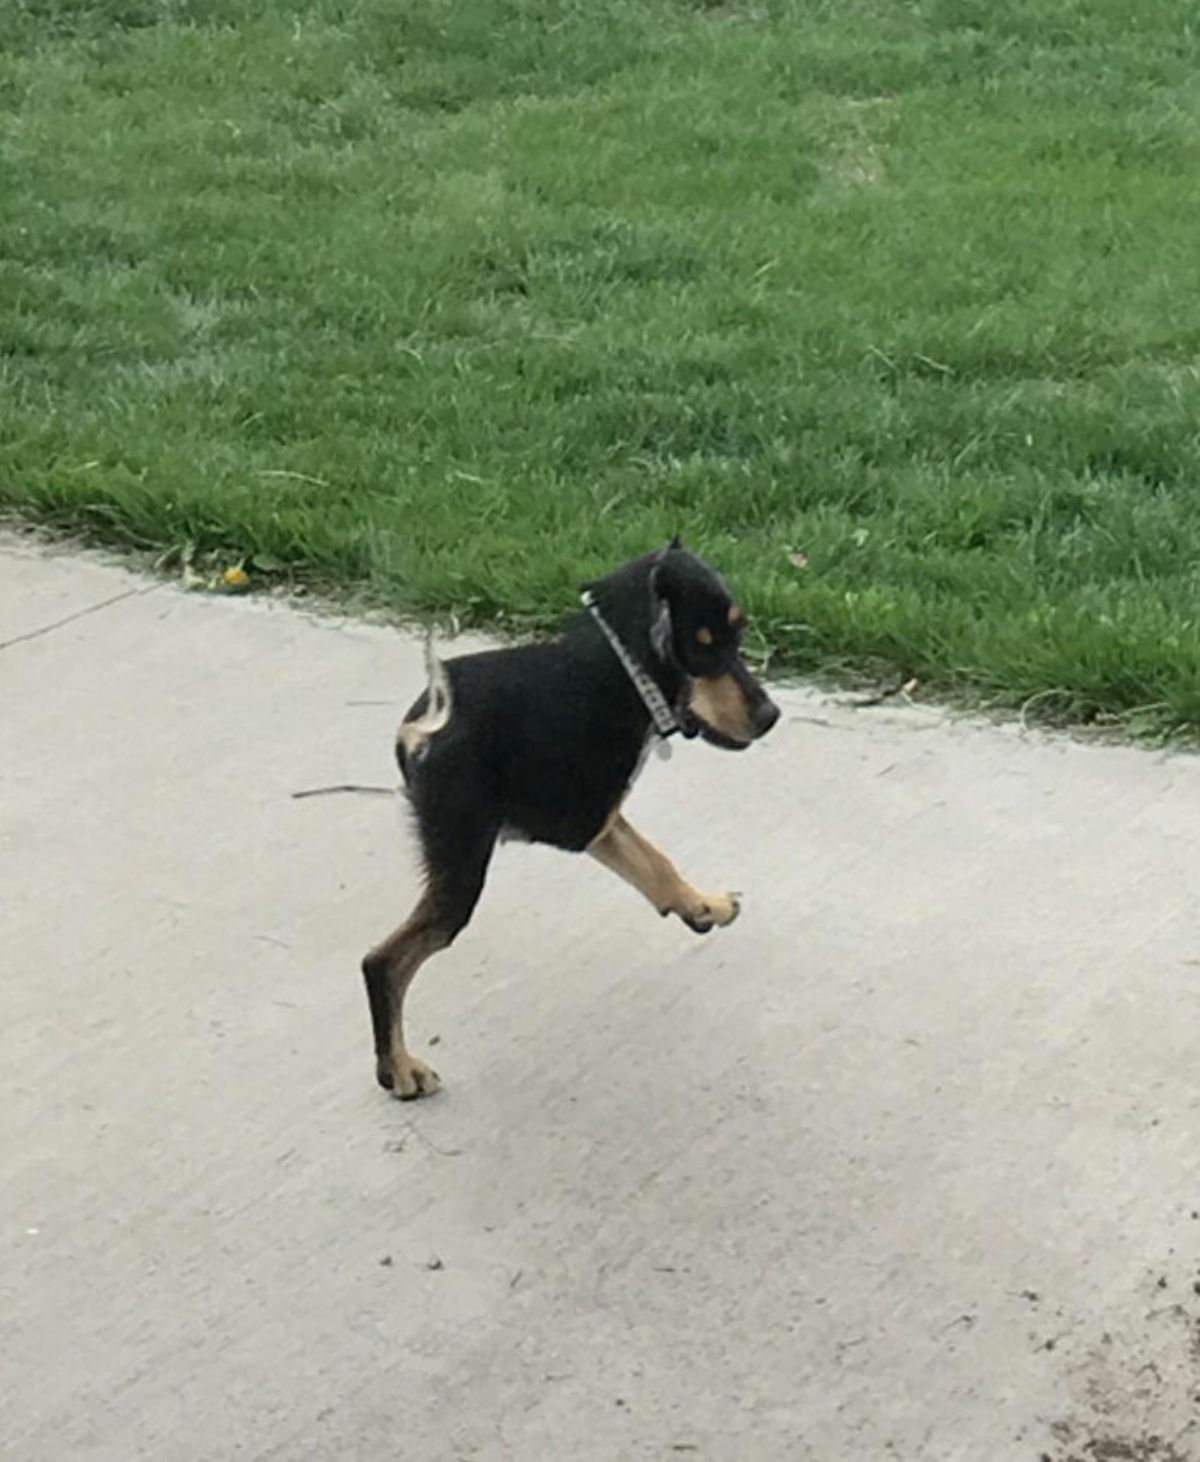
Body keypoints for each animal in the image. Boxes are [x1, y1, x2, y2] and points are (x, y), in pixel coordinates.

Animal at [361, 538, 783, 1099]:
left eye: (738, 634)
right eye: (701, 647)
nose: (770, 717)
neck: (624, 668)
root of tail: (429, 720)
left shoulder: (597, 817)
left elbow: (655, 862)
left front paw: (703, 907)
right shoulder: (583, 819)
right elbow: (648, 857)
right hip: (460, 864)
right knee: (383, 961)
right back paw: (400, 1069)